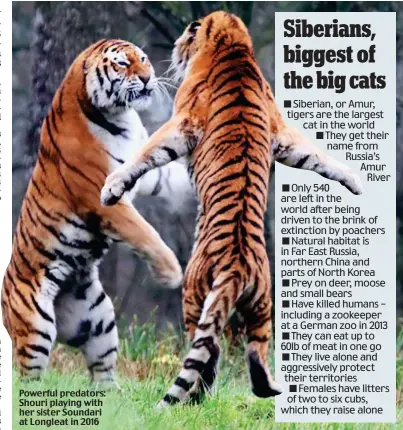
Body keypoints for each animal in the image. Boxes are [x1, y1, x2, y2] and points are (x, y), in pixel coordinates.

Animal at [1, 38, 183, 384]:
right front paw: (171, 273)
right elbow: (145, 232)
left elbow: (174, 178)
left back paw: (116, 394)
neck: (121, 117)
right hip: (35, 327)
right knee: (27, 374)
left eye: (143, 59)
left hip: (98, 319)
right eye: (123, 64)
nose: (147, 78)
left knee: (102, 370)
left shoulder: (144, 174)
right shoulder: (103, 199)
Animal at [100, 11, 362, 404]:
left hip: (194, 294)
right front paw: (356, 182)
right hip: (263, 305)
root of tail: (238, 266)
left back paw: (196, 399)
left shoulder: (183, 120)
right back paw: (269, 389)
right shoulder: (281, 131)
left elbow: (144, 154)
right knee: (255, 350)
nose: (175, 49)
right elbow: (316, 156)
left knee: (208, 352)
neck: (232, 43)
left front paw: (112, 188)